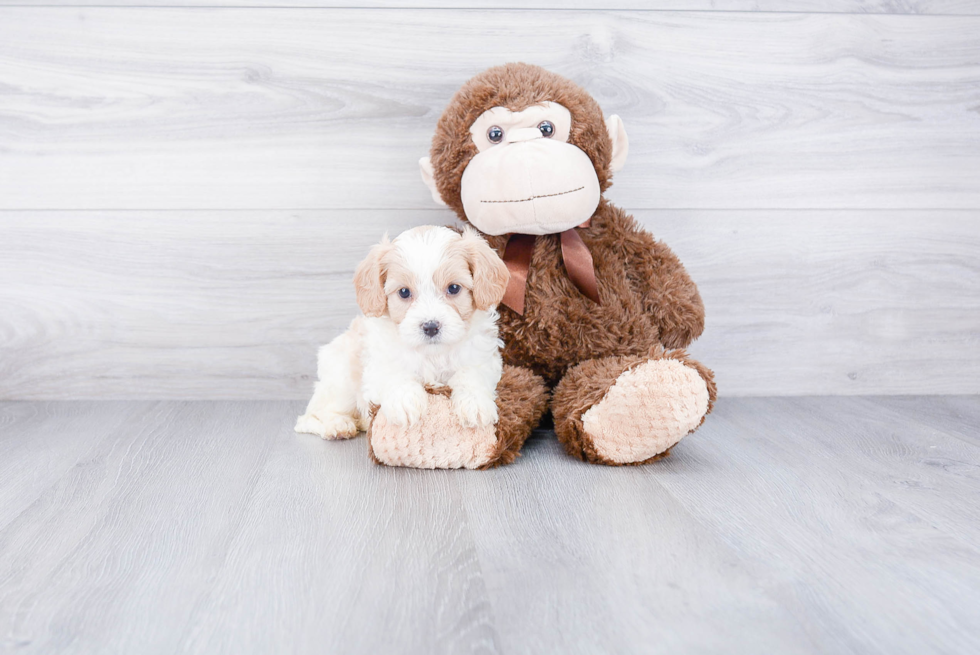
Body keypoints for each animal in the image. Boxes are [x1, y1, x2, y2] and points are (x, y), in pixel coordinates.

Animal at [292, 226, 510, 440]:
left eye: (454, 288)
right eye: (404, 292)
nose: (431, 326)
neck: (433, 354)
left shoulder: (482, 357)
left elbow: (471, 374)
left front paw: (475, 403)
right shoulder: (378, 362)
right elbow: (395, 372)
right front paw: (405, 401)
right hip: (341, 380)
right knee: (311, 416)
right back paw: (338, 425)